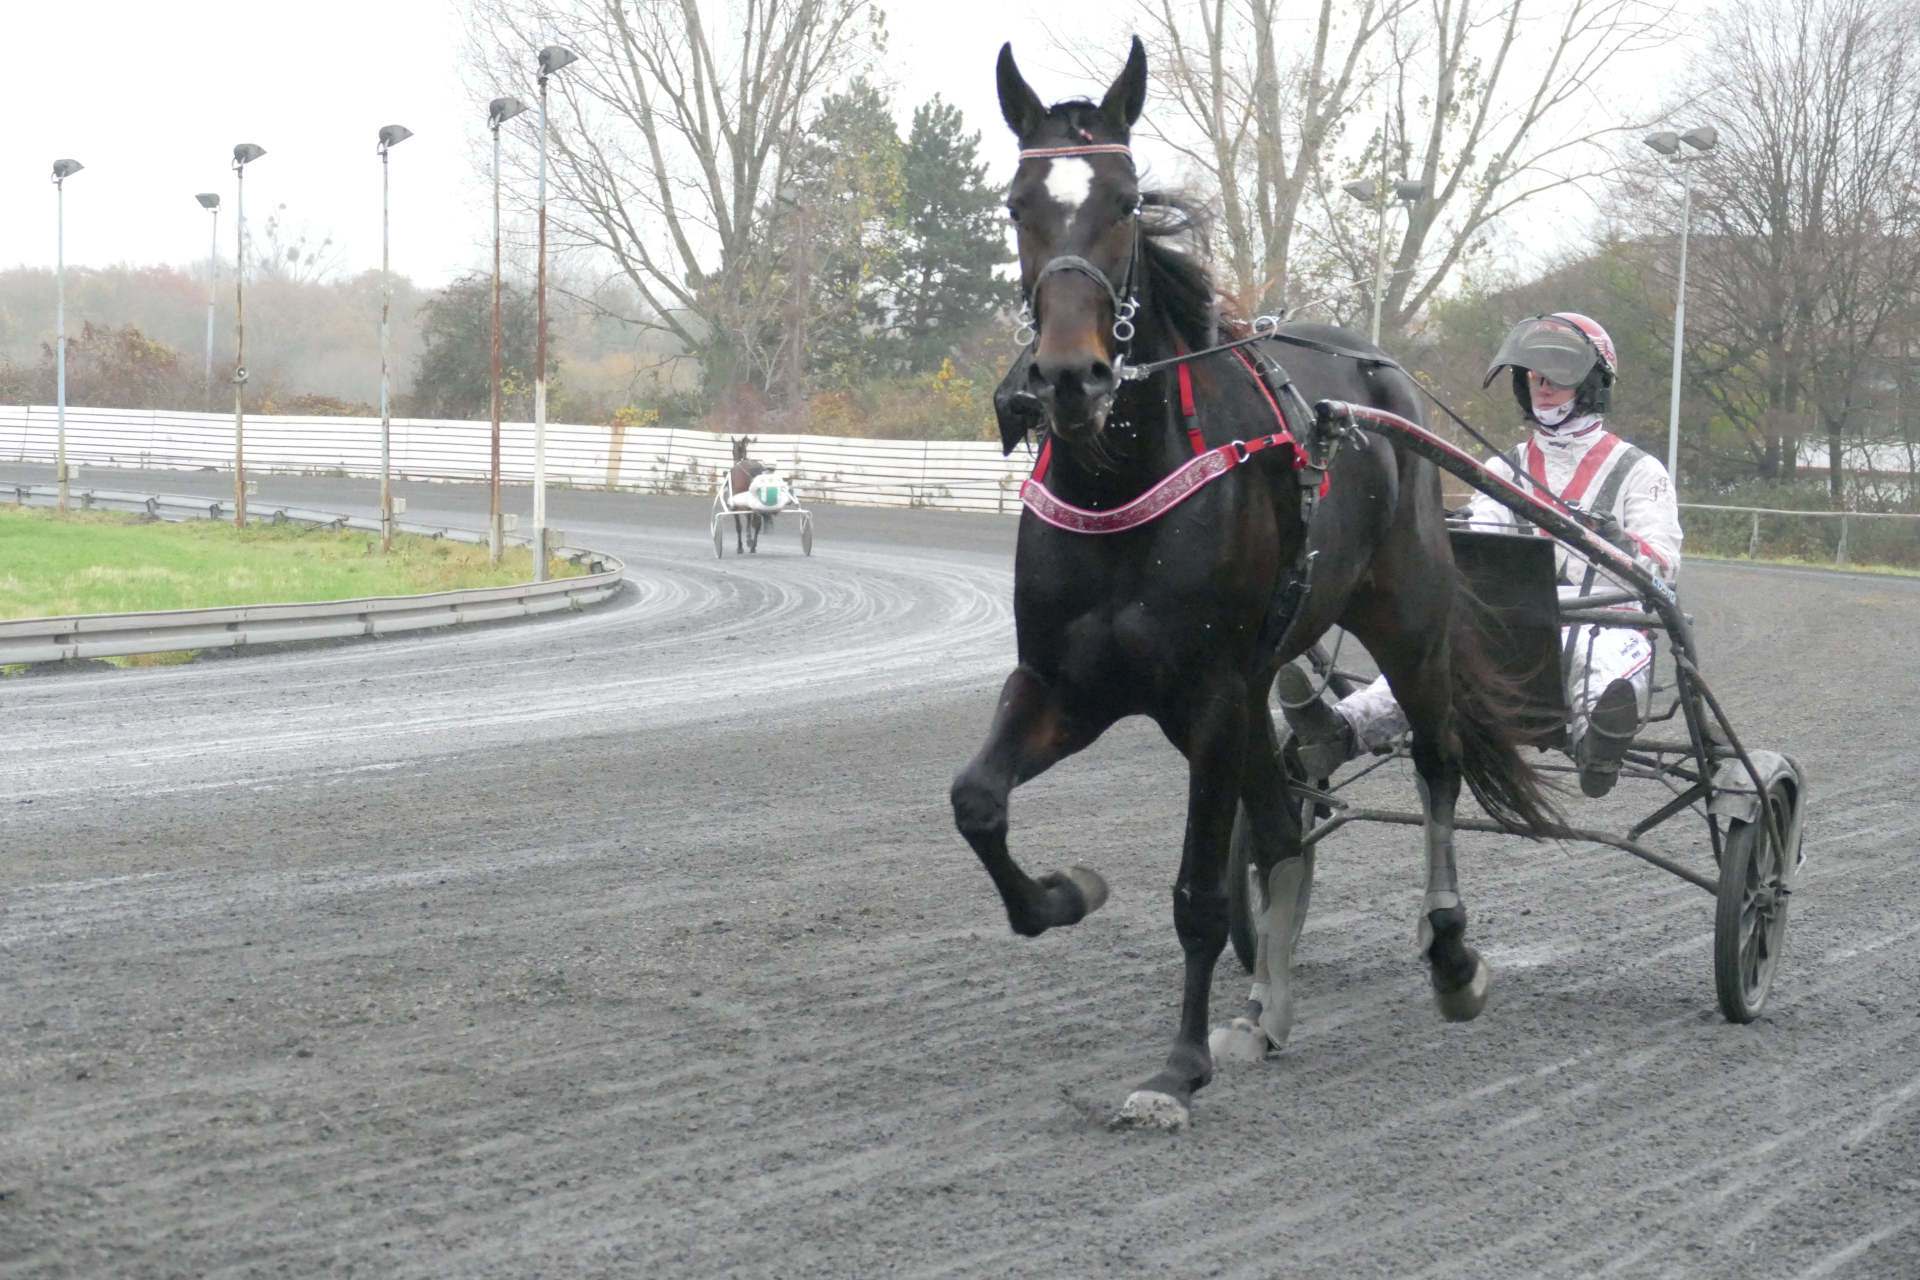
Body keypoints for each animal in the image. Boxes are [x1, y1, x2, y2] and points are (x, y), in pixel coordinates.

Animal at [949, 37, 1557, 1130]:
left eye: (1124, 198)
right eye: (1018, 202)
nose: (1066, 377)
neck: (1123, 478)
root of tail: (1376, 367)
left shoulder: (1212, 695)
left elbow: (1197, 891)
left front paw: (1175, 1067)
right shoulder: (1066, 683)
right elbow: (977, 801)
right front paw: (1066, 893)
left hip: (1407, 614)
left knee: (1437, 761)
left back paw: (1451, 955)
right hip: (1261, 681)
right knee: (1281, 826)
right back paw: (1267, 1007)